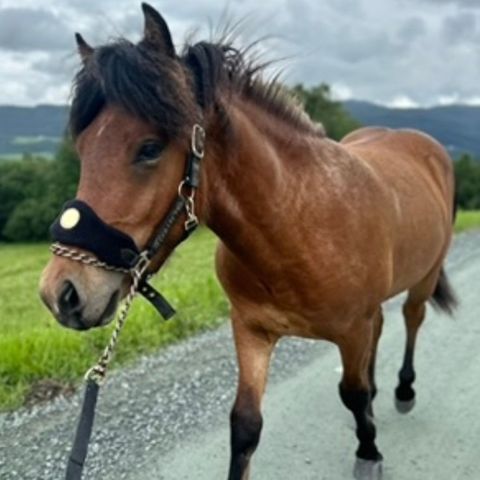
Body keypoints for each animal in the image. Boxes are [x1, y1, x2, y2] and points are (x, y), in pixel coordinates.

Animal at [39, 4, 456, 480]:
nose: (62, 292)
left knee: (411, 319)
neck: (298, 230)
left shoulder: (351, 330)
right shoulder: (252, 330)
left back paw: (404, 391)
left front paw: (368, 451)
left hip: (424, 278)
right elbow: (245, 425)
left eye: (149, 148)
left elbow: (352, 393)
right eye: (83, 148)